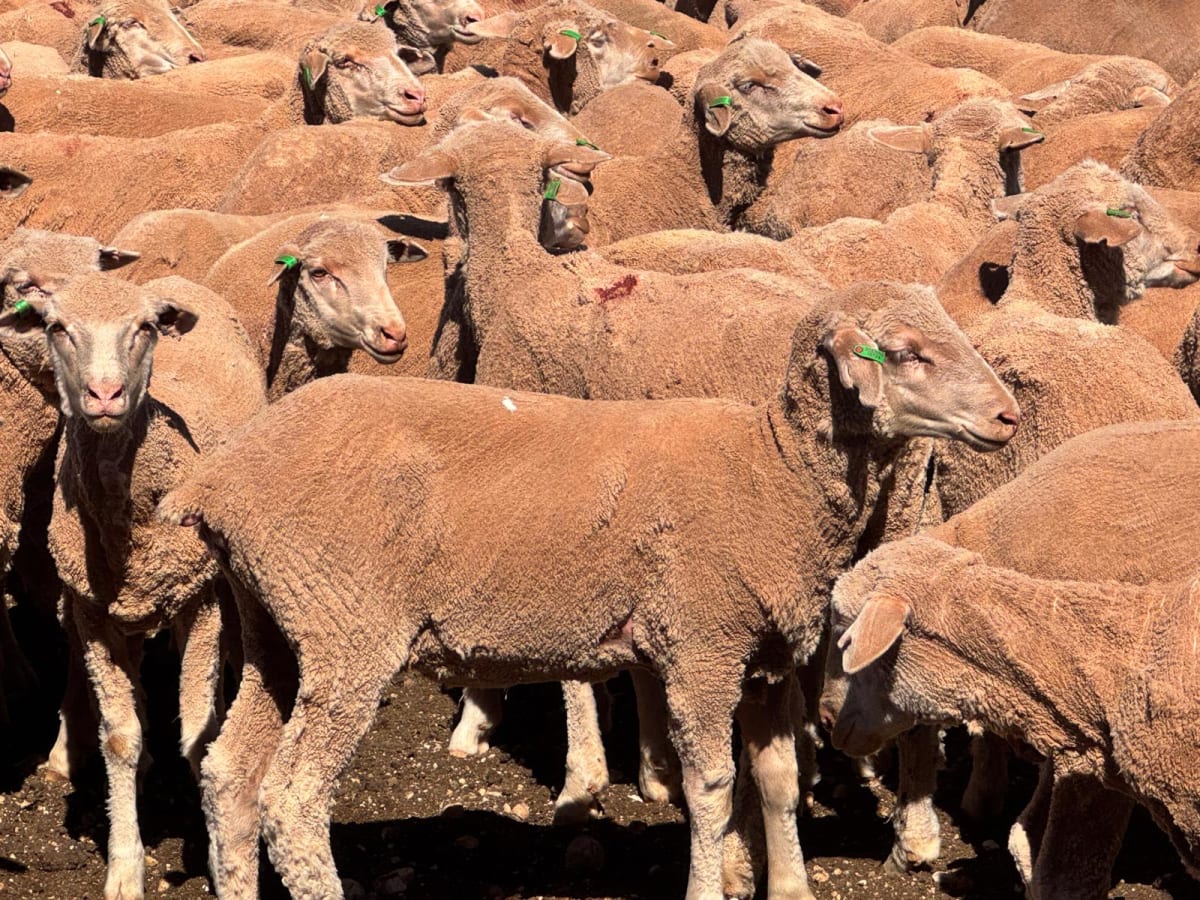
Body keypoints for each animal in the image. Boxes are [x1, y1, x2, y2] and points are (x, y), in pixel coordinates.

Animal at [0, 273, 264, 900]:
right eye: (57, 327)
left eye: (143, 328)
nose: (104, 395)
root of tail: (173, 280)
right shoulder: (93, 612)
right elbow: (120, 737)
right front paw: (125, 865)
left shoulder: (201, 601)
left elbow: (198, 736)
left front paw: (214, 855)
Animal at [159, 269, 1018, 900]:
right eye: (904, 351)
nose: (1008, 416)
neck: (773, 475)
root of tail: (219, 479)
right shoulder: (700, 646)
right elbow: (711, 786)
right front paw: (710, 883)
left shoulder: (762, 656)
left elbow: (775, 780)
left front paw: (791, 887)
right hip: (347, 630)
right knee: (293, 799)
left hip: (275, 626)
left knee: (229, 777)